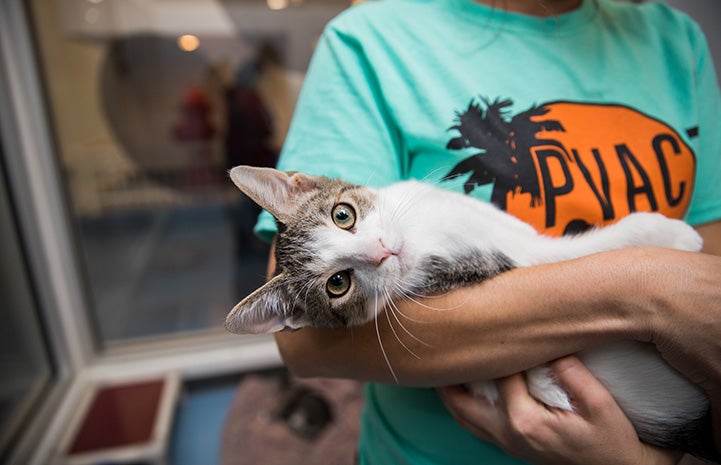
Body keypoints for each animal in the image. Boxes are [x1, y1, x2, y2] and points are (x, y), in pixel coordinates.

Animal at [224, 164, 716, 460]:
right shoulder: (512, 259)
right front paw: (668, 234)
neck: (423, 236)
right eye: (338, 284)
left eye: (343, 215)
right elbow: (575, 252)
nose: (381, 252)